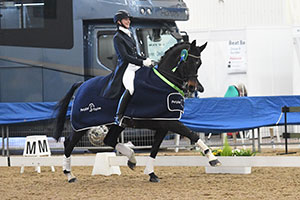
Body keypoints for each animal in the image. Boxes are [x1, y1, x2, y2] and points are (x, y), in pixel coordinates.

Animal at [54, 40, 220, 183]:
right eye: (188, 62)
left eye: (199, 63)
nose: (193, 87)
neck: (163, 82)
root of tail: (81, 85)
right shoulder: (170, 122)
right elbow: (192, 134)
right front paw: (212, 158)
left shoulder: (163, 124)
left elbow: (154, 149)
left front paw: (151, 174)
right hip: (82, 125)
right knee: (68, 144)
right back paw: (69, 175)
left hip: (117, 124)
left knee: (109, 140)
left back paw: (132, 159)